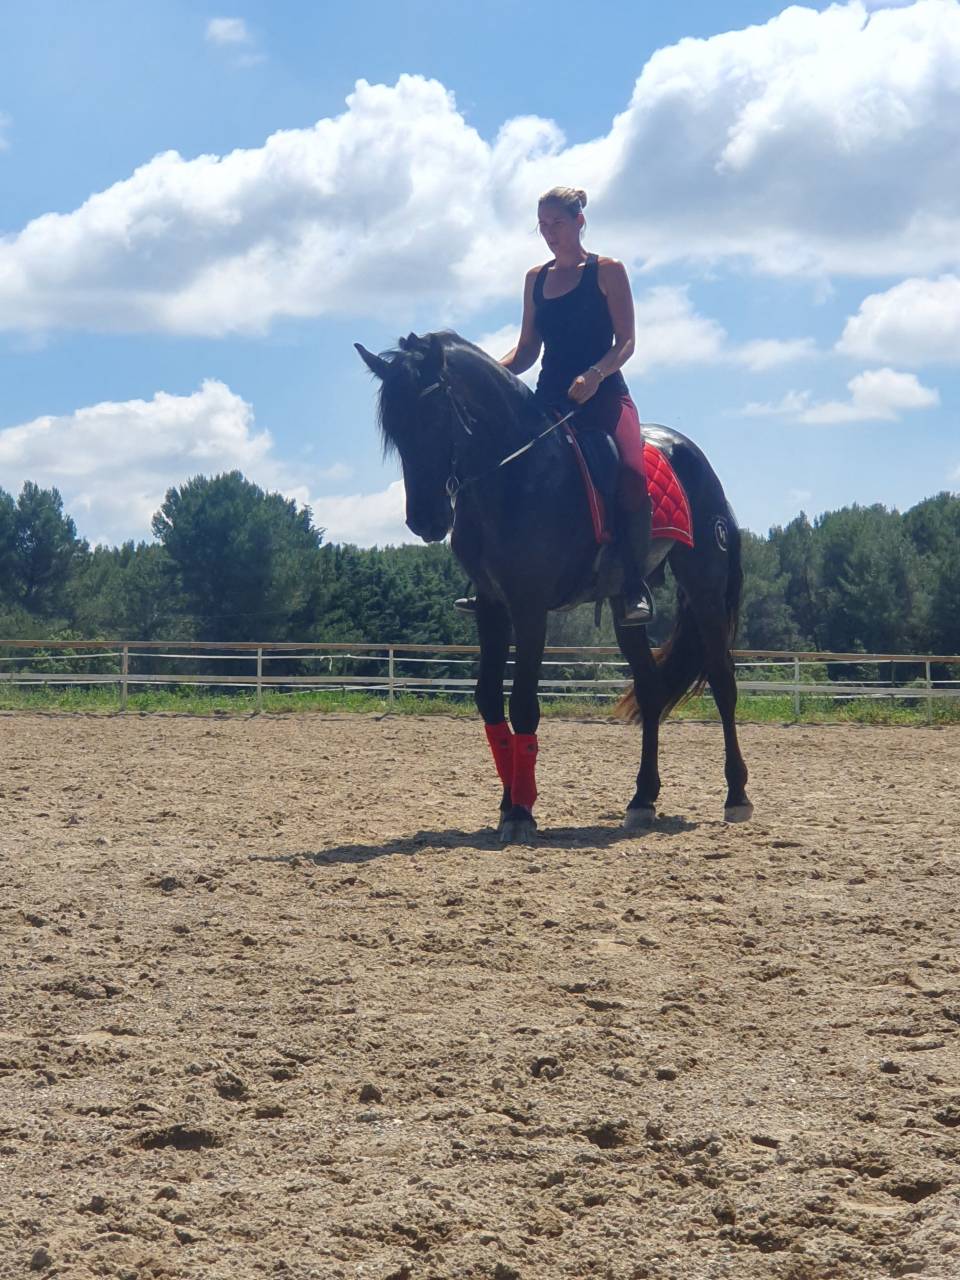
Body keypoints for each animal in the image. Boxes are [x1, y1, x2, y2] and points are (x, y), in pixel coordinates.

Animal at [355, 330, 752, 843]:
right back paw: (641, 800)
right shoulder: (491, 606)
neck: (514, 473)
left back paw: (736, 796)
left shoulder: (529, 606)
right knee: (649, 689)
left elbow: (524, 702)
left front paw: (521, 813)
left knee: (722, 678)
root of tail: (692, 453)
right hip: (626, 607)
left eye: (436, 415)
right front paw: (511, 802)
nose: (425, 519)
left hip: (704, 583)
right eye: (395, 430)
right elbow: (489, 700)